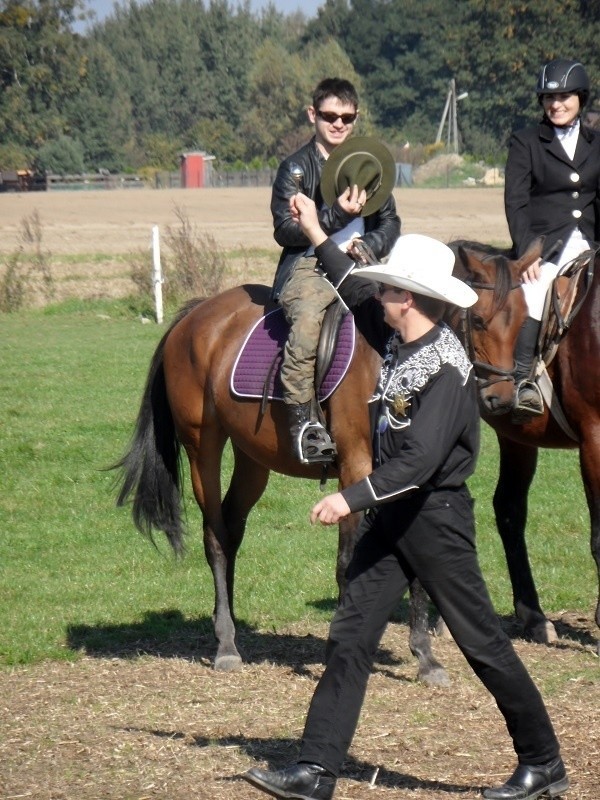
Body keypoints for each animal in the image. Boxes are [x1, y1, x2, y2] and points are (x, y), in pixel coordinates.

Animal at [115, 282, 448, 680]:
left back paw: (226, 624)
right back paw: (226, 645)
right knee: (215, 536)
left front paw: (425, 656)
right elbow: (348, 561)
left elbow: (419, 562)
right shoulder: (357, 468)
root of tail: (196, 313)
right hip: (202, 447)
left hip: (252, 457)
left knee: (231, 529)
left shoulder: (412, 475)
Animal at [450, 239, 600, 648]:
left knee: (509, 509)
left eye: (521, 325)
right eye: (478, 321)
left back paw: (533, 616)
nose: (501, 395)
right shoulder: (594, 437)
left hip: (517, 439)